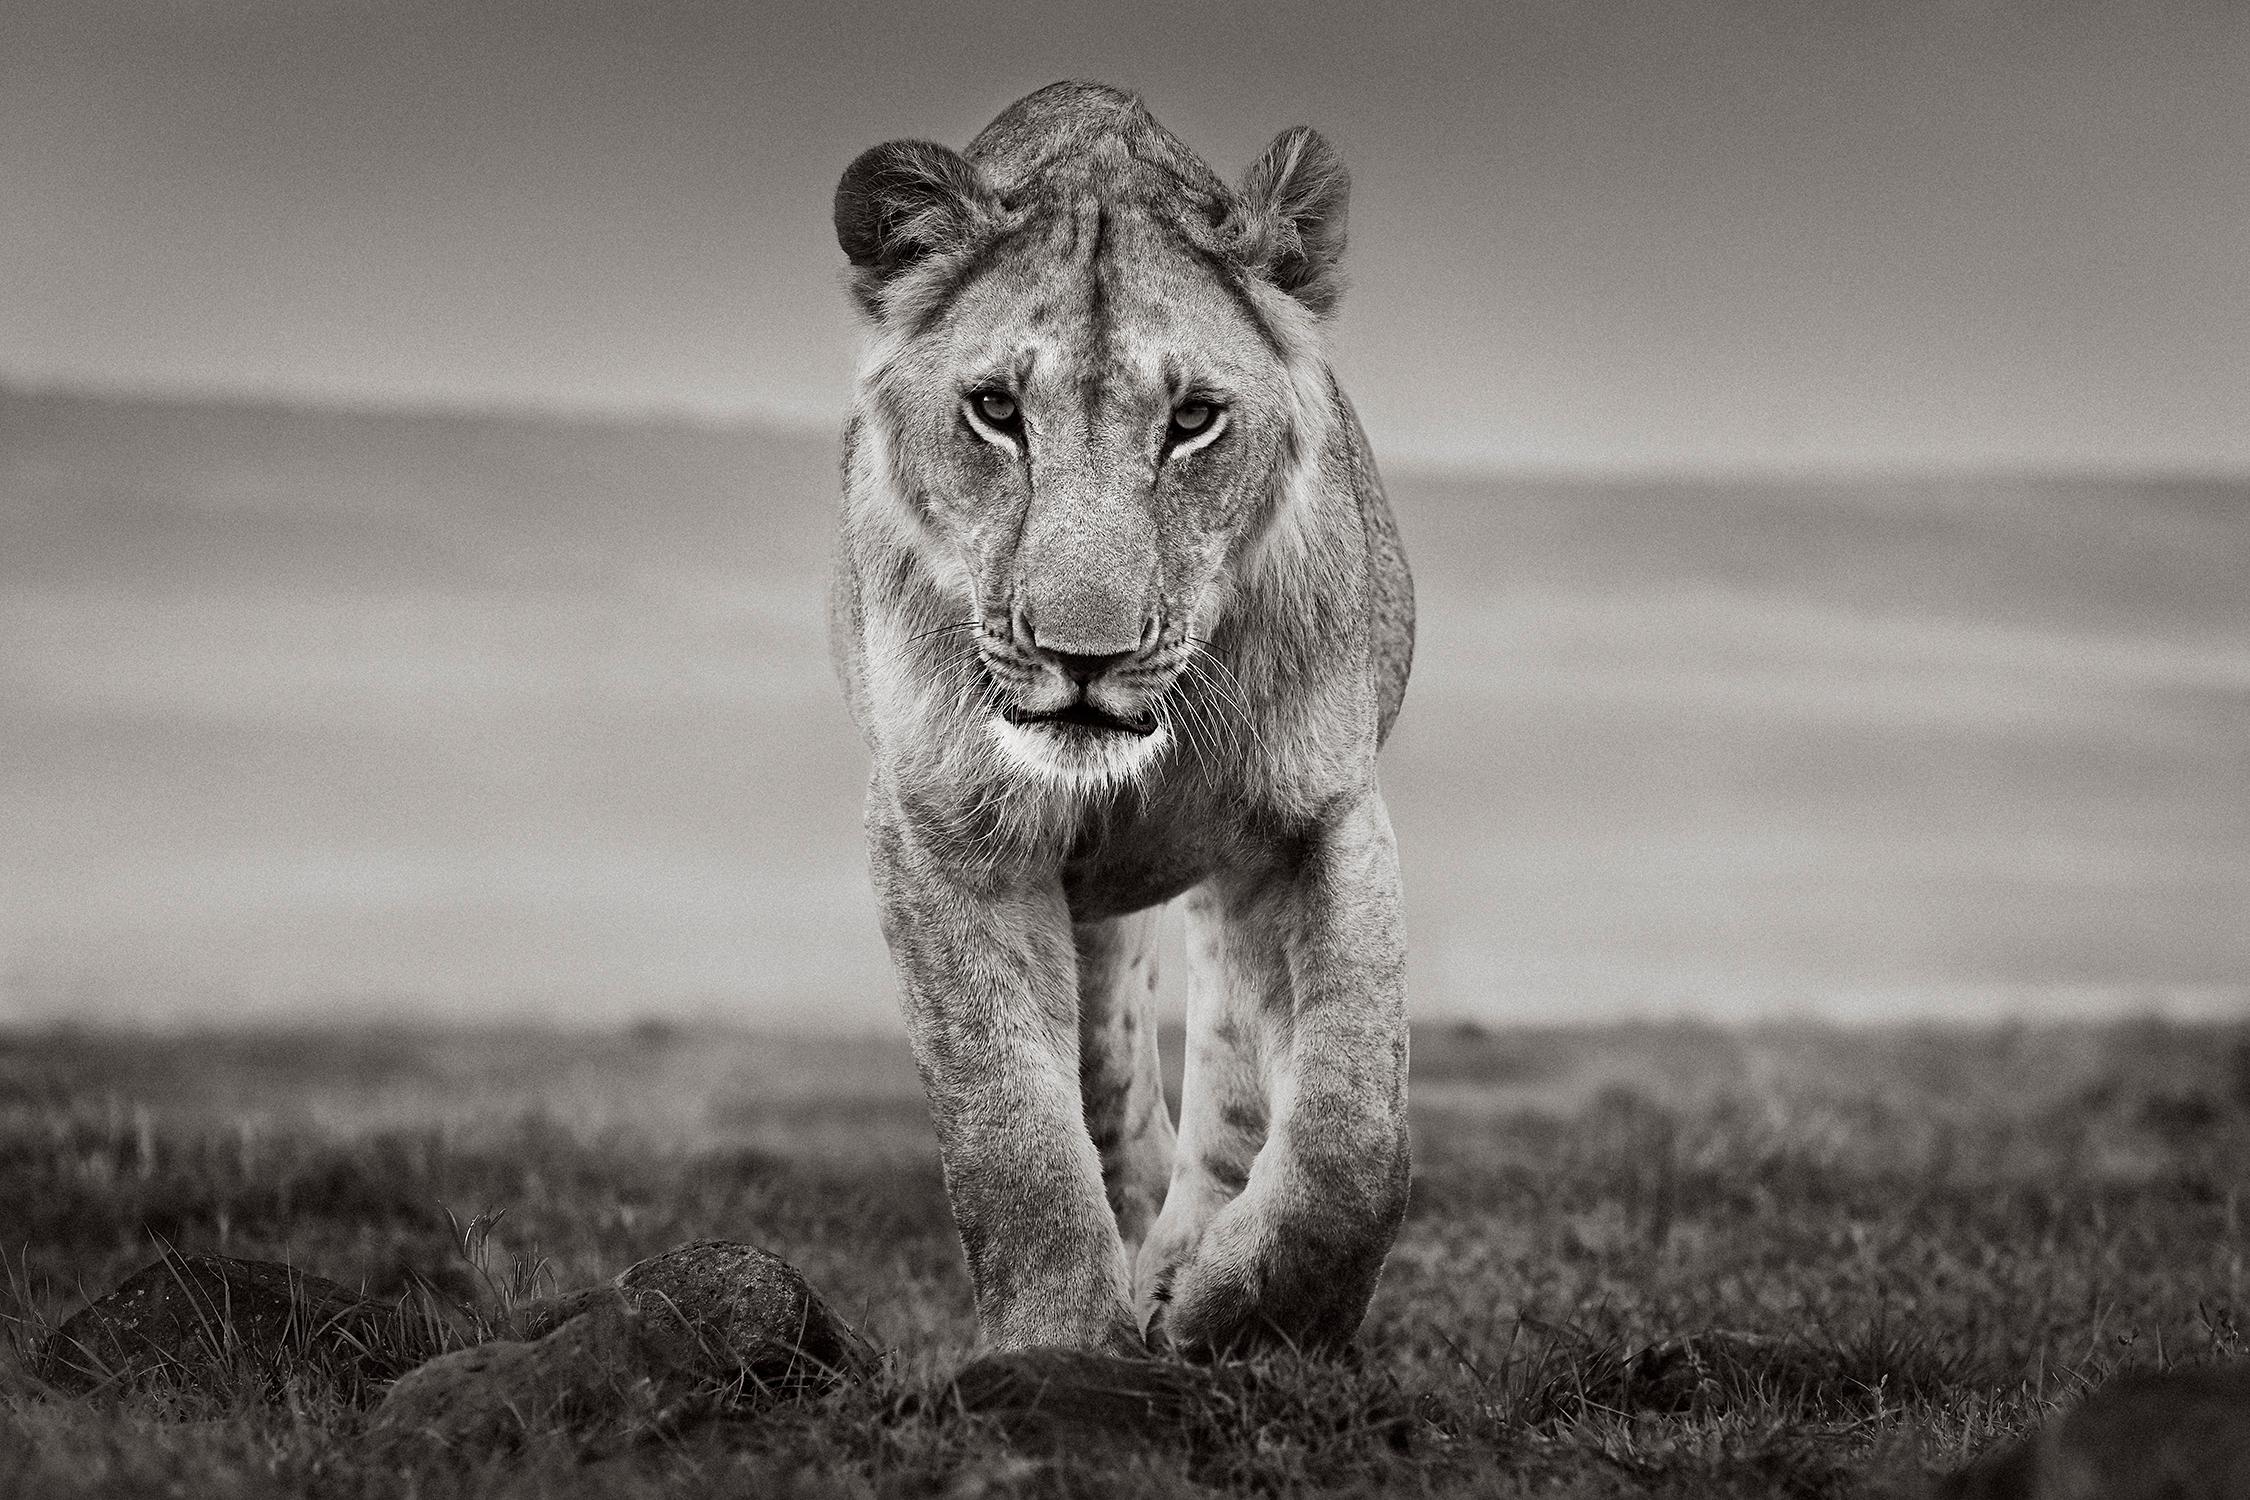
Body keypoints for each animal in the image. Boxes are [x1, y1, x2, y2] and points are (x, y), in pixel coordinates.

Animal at [837, 76, 1413, 1358]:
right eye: (995, 410)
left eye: (1194, 418)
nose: (1081, 656)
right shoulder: (946, 832)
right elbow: (1008, 1124)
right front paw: (1057, 1351)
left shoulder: (1325, 813)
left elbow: (1354, 1138)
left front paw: (1250, 1310)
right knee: (1104, 1081)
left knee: (1238, 1062)